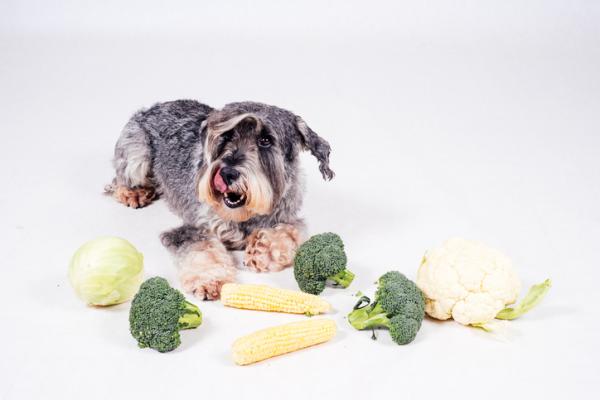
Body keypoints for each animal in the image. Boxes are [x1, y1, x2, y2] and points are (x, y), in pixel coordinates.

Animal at [105, 100, 336, 300]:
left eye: (265, 140)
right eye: (226, 136)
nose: (227, 173)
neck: (245, 215)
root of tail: (151, 107)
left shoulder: (287, 216)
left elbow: (291, 232)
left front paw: (262, 251)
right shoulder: (193, 229)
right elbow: (202, 249)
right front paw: (209, 280)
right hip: (136, 156)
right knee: (120, 179)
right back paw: (134, 193)